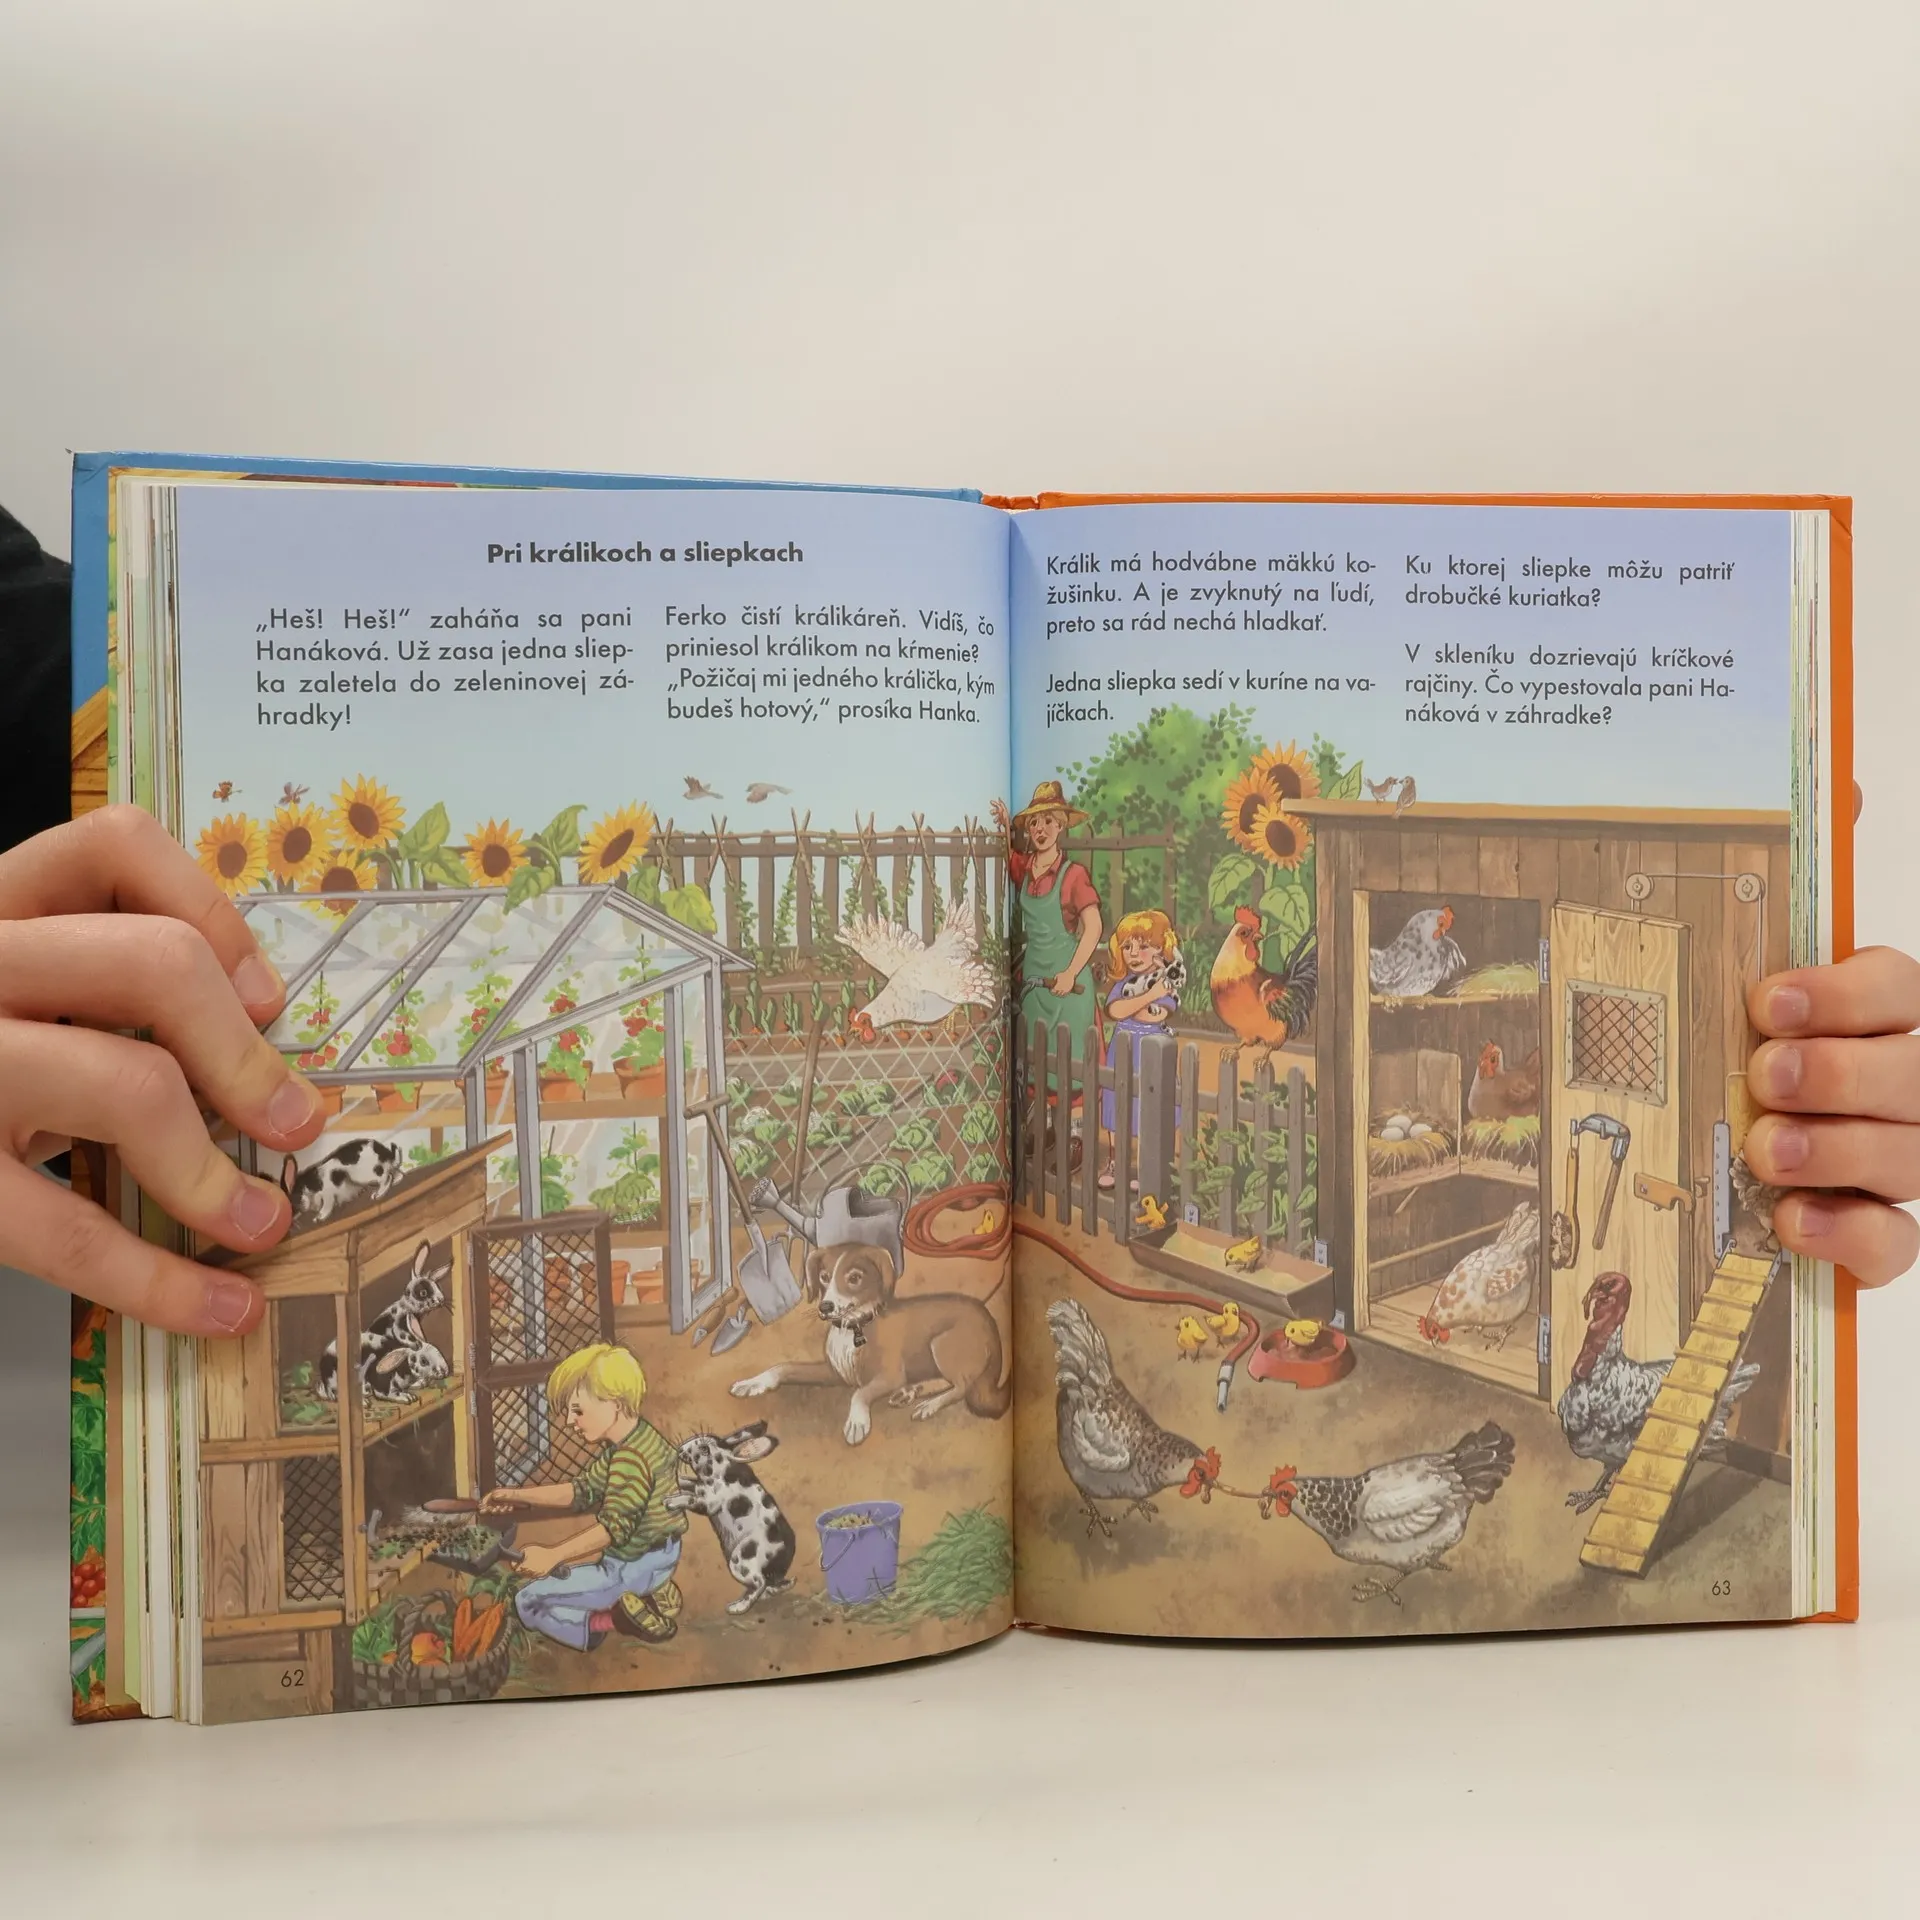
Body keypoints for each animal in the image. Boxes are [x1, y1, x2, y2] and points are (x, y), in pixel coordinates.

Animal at [731, 1245, 1009, 1445]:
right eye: (824, 1277)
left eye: (854, 1277)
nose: (825, 1307)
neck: (855, 1328)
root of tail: (992, 1324)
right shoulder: (833, 1373)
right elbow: (784, 1366)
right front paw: (752, 1383)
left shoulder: (890, 1376)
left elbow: (860, 1393)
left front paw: (857, 1422)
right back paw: (910, 1392)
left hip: (942, 1343)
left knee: (963, 1387)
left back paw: (928, 1405)